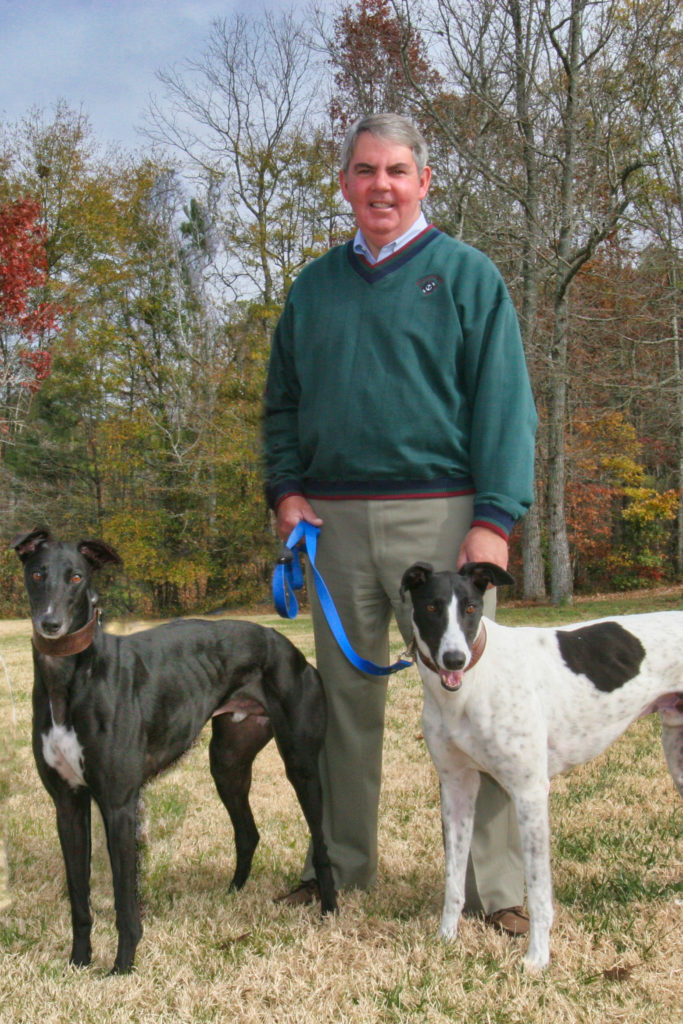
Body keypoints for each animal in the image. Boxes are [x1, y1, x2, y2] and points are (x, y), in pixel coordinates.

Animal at [12, 532, 337, 970]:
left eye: (77, 576)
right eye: (37, 573)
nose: (50, 625)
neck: (68, 678)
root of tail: (288, 647)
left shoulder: (119, 803)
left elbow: (124, 898)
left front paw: (122, 966)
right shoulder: (67, 803)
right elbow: (78, 894)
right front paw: (79, 962)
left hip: (300, 763)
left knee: (321, 842)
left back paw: (329, 910)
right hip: (228, 763)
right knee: (247, 832)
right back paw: (232, 893)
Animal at [401, 561, 683, 966]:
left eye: (471, 607)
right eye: (431, 607)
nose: (454, 659)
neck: (475, 680)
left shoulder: (529, 792)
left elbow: (536, 891)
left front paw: (537, 959)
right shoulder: (456, 787)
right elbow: (453, 879)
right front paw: (445, 939)